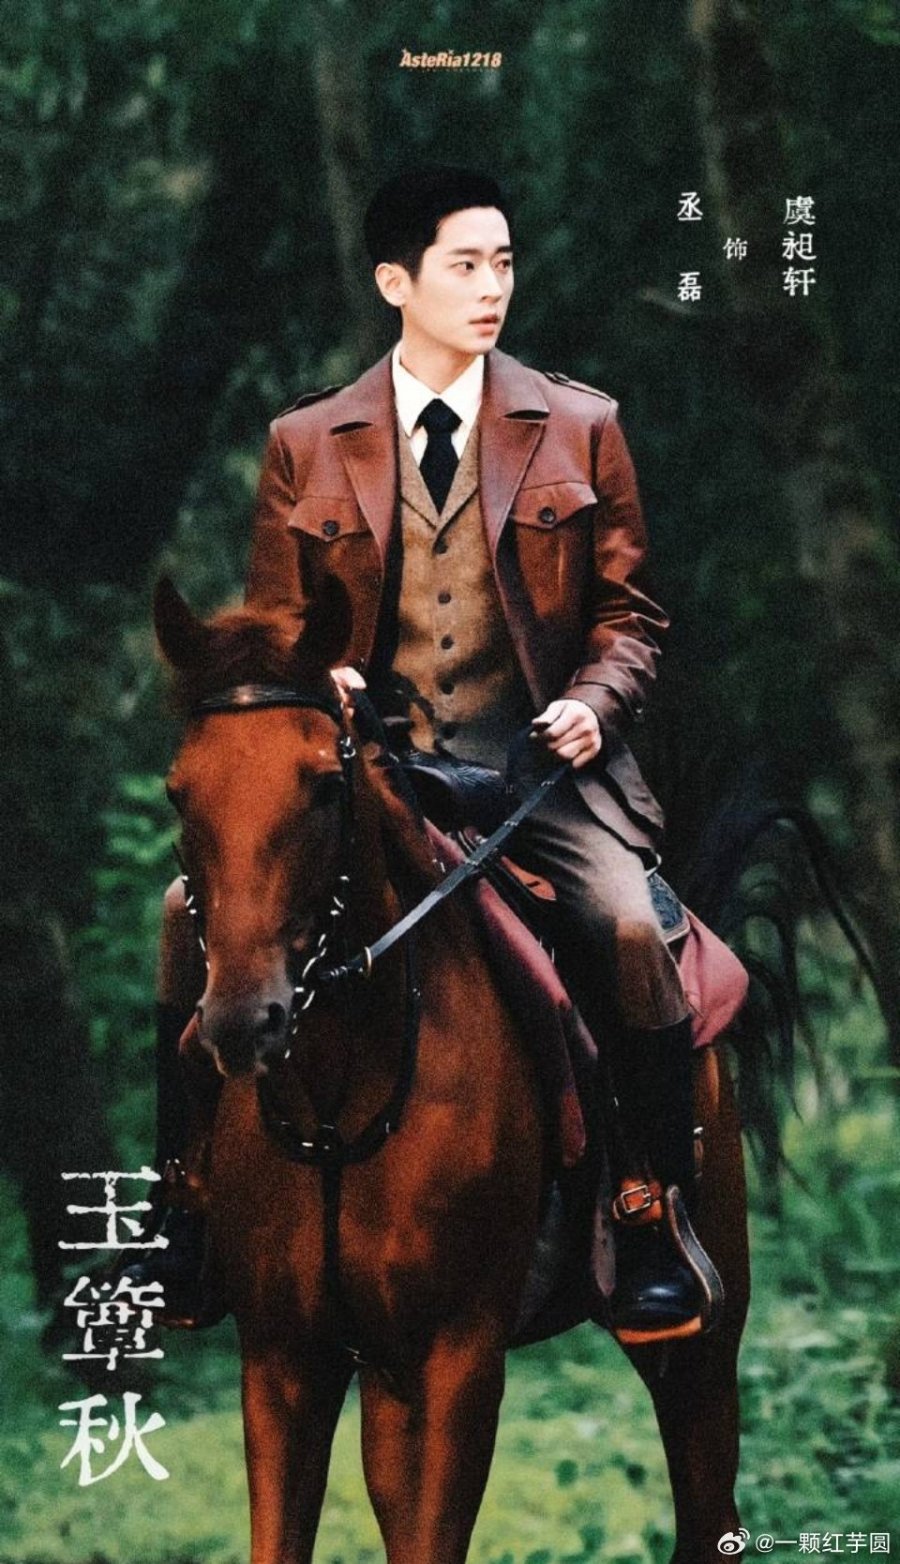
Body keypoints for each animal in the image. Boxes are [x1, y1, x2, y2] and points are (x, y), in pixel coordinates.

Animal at [152, 575, 750, 1564]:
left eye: (325, 784)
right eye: (177, 792)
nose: (242, 1020)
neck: (338, 1102)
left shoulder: (454, 1363)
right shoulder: (285, 1363)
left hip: (701, 1342)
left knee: (710, 1506)